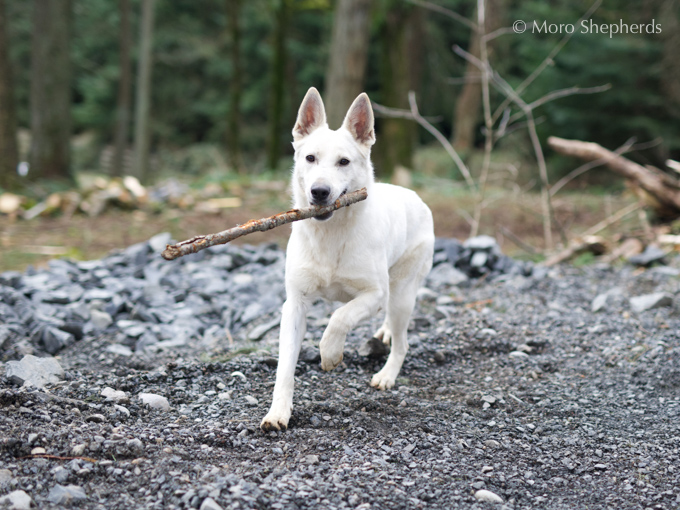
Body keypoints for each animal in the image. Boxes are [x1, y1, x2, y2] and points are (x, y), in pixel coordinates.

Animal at [260, 86, 436, 430]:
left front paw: (329, 353)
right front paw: (278, 413)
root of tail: (417, 198)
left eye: (344, 162)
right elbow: (285, 368)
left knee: (402, 342)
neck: (331, 234)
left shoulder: (375, 295)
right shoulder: (295, 305)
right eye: (310, 158)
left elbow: (339, 318)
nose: (319, 192)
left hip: (400, 294)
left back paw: (386, 375)